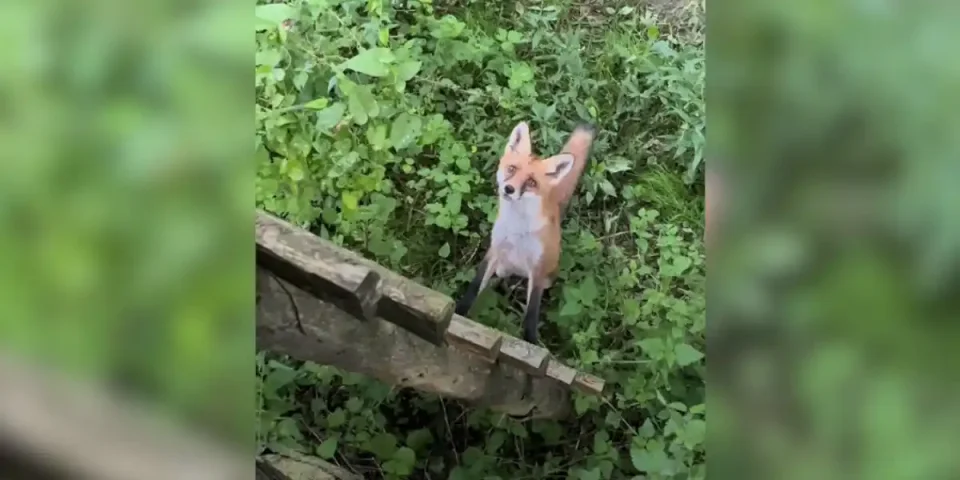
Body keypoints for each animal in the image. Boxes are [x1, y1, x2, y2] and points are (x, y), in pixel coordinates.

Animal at [454, 121, 596, 344]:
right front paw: (459, 313)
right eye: (512, 169)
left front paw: (531, 343)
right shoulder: (495, 251)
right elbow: (474, 287)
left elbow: (531, 315)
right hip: (502, 267)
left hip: (547, 276)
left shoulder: (537, 270)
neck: (517, 230)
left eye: (531, 182)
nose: (509, 189)